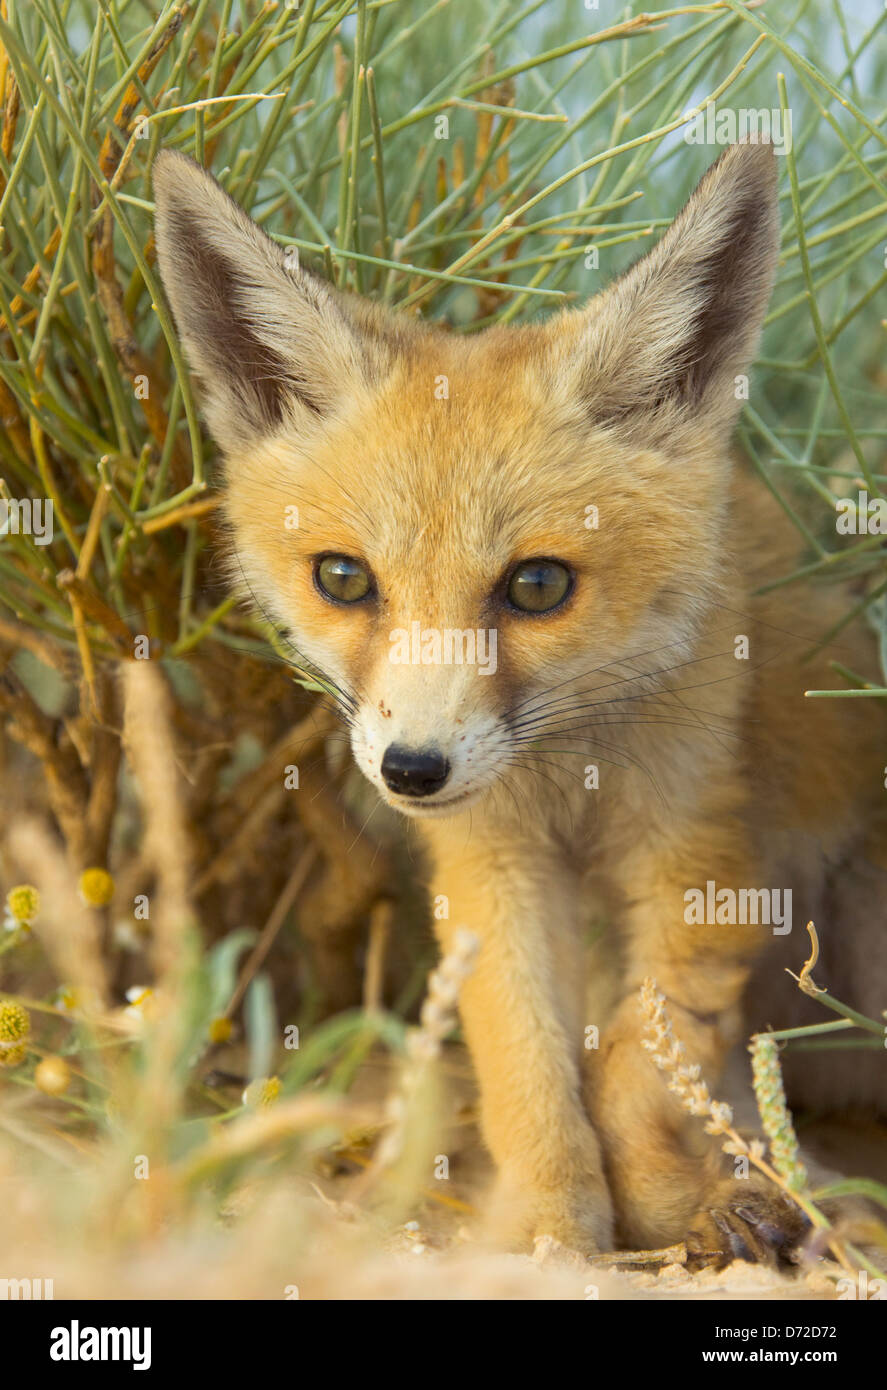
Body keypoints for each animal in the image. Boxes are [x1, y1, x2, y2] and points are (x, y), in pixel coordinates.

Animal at [154, 143, 887, 1273]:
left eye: (536, 586)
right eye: (342, 579)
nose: (413, 770)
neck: (568, 775)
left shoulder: (700, 851)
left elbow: (642, 1056)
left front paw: (661, 1202)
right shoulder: (491, 860)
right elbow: (528, 1063)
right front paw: (549, 1226)